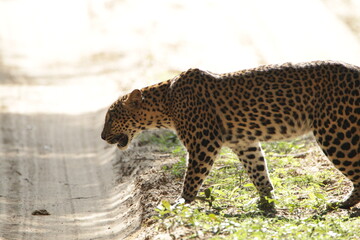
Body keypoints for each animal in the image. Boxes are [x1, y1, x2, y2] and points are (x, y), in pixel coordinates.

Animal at [101, 60, 360, 210]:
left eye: (111, 117)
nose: (102, 137)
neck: (165, 104)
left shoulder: (203, 144)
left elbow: (192, 177)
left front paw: (180, 203)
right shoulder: (244, 142)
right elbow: (258, 171)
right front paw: (266, 201)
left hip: (335, 132)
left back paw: (343, 203)